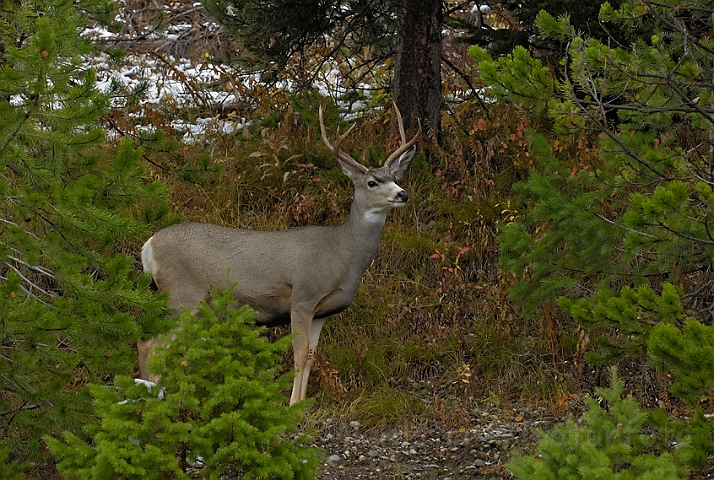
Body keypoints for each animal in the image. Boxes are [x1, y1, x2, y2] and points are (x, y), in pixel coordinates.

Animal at [137, 106, 420, 404]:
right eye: (372, 182)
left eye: (395, 178)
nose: (403, 194)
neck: (343, 252)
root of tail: (148, 246)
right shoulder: (303, 297)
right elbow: (299, 355)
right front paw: (293, 404)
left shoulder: (323, 311)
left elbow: (311, 357)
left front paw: (303, 403)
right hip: (182, 295)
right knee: (150, 344)